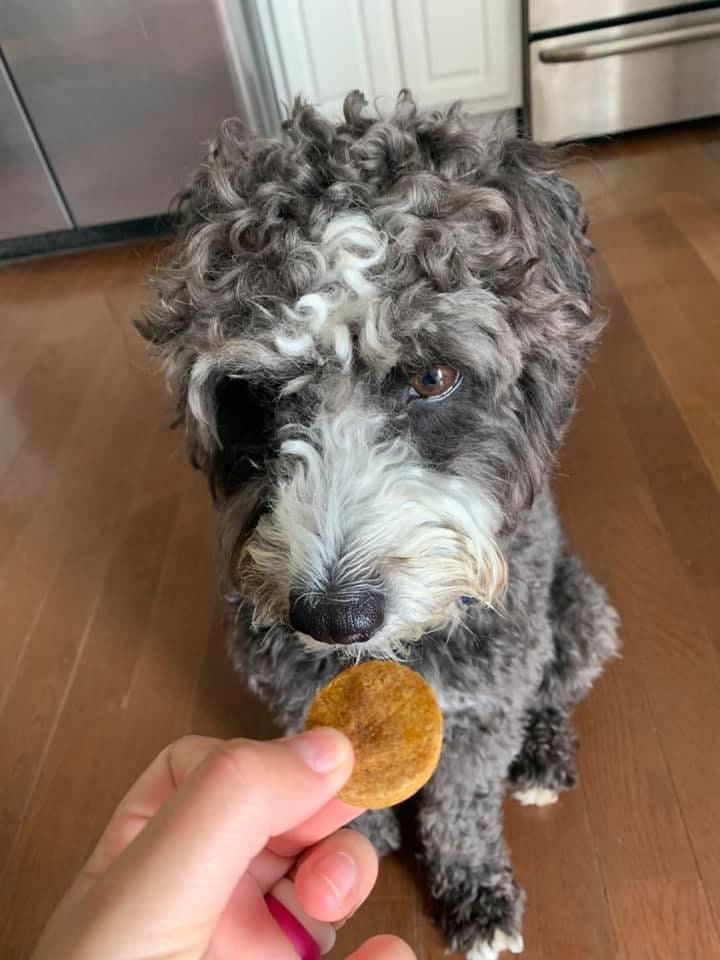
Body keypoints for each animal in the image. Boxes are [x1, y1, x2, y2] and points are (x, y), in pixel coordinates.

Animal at [139, 92, 620, 960]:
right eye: (251, 394)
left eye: (432, 375)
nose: (333, 618)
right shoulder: (291, 697)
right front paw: (356, 836)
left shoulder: (485, 701)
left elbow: (463, 804)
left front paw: (475, 892)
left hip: (578, 617)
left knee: (554, 690)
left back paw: (541, 757)